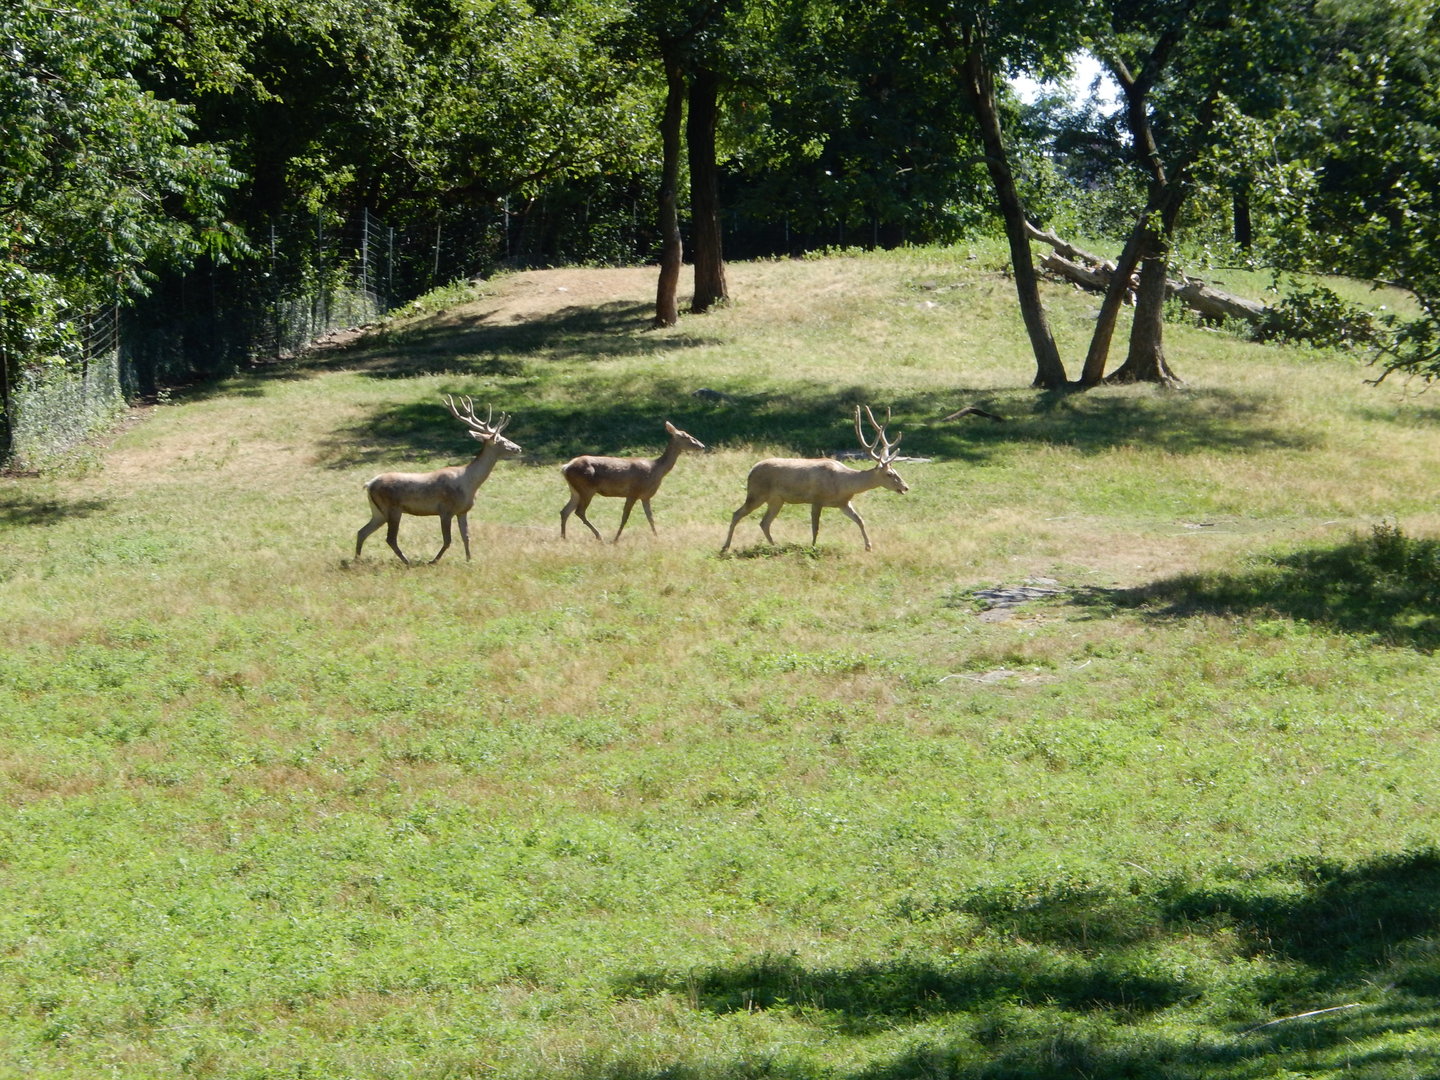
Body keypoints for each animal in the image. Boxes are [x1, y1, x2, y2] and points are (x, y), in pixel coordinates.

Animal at [355, 395, 521, 565]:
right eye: (500, 440)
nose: (518, 448)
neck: (469, 483)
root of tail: (369, 484)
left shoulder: (462, 511)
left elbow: (466, 537)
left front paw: (469, 560)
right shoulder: (445, 510)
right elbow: (448, 540)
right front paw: (433, 561)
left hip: (378, 512)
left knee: (362, 531)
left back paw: (357, 559)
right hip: (392, 508)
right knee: (390, 538)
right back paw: (407, 561)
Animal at [559, 421, 707, 542]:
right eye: (686, 436)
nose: (702, 446)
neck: (655, 470)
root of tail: (565, 467)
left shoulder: (645, 496)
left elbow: (650, 517)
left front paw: (657, 537)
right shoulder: (634, 492)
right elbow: (625, 517)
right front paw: (616, 539)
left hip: (575, 490)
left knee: (565, 511)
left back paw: (564, 538)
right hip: (586, 488)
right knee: (579, 511)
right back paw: (598, 536)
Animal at [721, 405, 909, 554]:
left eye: (896, 471)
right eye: (889, 474)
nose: (905, 487)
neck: (843, 483)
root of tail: (751, 470)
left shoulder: (843, 503)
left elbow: (860, 520)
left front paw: (869, 546)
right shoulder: (817, 498)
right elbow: (815, 527)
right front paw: (812, 547)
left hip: (776, 500)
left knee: (764, 522)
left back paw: (775, 546)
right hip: (756, 493)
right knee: (737, 513)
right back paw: (725, 547)